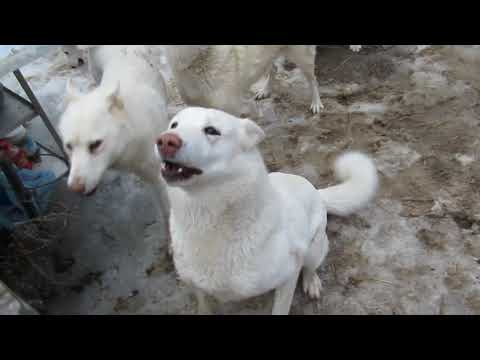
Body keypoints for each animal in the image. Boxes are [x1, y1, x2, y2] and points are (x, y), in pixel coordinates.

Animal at [158, 107, 378, 316]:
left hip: (314, 248)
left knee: (310, 267)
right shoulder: (195, 284)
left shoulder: (289, 275)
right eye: (174, 125)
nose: (165, 140)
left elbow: (281, 308)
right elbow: (203, 305)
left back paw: (311, 282)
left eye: (212, 130)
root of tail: (317, 191)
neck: (208, 215)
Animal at [165, 44, 364, 116]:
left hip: (302, 56)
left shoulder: (230, 108)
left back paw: (316, 103)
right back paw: (265, 90)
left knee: (312, 79)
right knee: (273, 68)